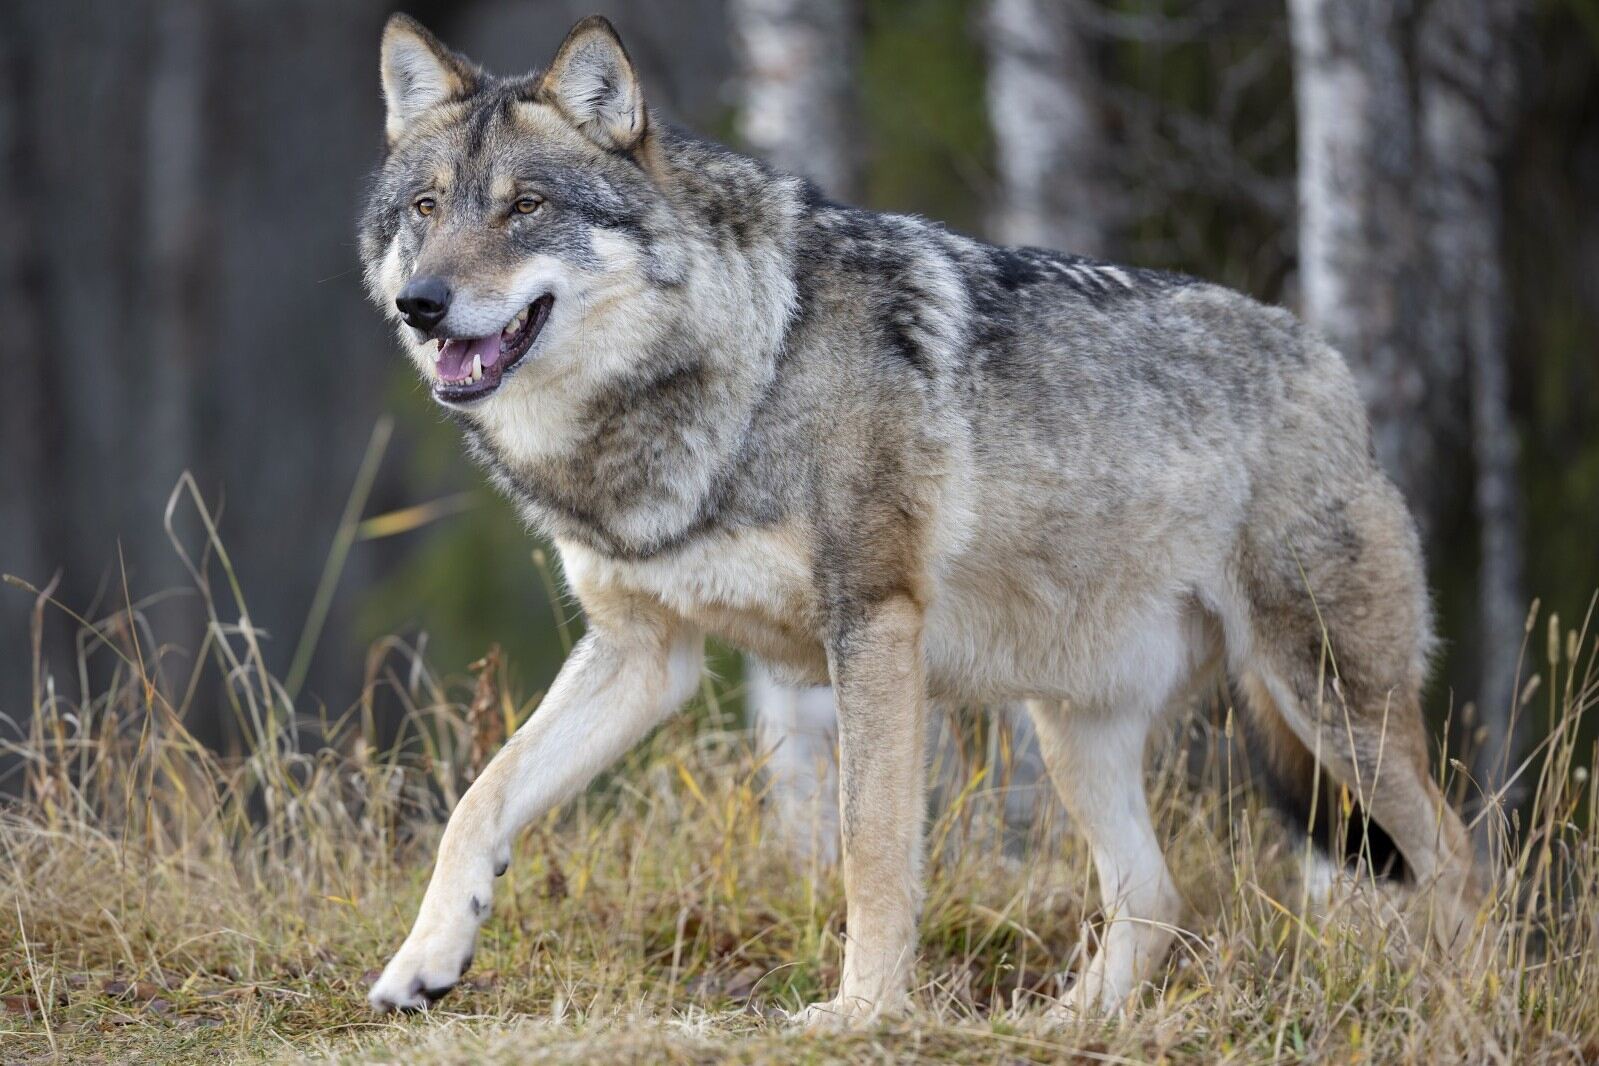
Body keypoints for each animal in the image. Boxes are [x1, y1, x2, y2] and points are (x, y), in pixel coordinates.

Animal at [360, 13, 1481, 1022]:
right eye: (425, 207)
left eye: (525, 206)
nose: (423, 303)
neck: (738, 365)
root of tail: (1325, 358)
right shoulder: (644, 652)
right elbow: (479, 799)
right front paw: (423, 961)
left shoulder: (873, 622)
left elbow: (869, 848)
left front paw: (860, 1013)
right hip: (1077, 727)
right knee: (1155, 896)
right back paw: (1063, 1026)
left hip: (1327, 702)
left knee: (1460, 857)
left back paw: (1464, 1003)